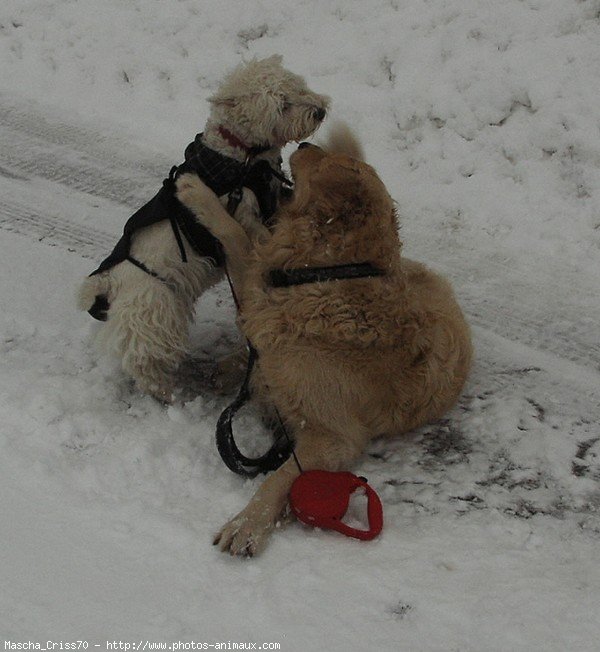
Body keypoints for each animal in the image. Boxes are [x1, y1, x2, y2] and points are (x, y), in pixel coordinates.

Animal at [176, 127, 472, 556]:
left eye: (325, 162)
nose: (303, 145)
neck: (332, 276)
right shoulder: (265, 292)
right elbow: (244, 246)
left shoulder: (334, 439)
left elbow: (279, 479)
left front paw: (248, 524)